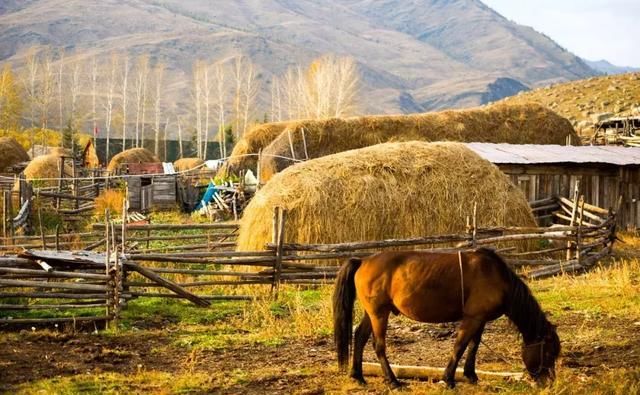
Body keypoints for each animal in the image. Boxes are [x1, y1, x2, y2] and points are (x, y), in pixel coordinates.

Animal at [336, 249, 560, 388]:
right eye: (548, 352)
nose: (548, 382)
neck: (496, 277)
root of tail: (362, 261)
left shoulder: (480, 319)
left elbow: (473, 345)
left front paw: (471, 375)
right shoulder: (472, 318)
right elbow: (460, 346)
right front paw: (449, 379)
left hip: (372, 313)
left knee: (359, 338)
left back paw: (358, 376)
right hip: (379, 314)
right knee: (379, 346)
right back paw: (393, 381)